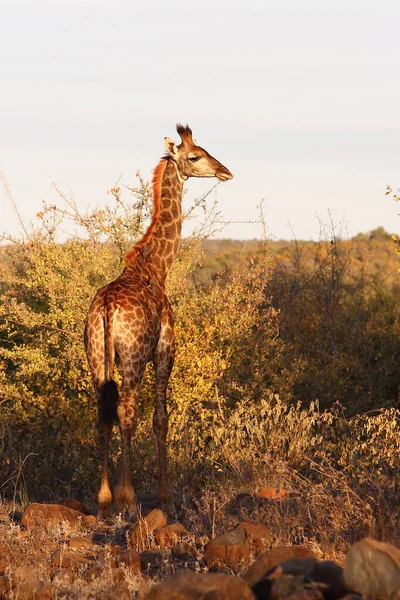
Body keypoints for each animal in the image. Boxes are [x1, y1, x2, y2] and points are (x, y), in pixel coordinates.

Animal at [85, 124, 234, 516]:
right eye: (195, 156)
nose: (225, 171)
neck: (156, 267)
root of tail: (106, 307)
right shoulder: (165, 350)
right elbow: (161, 420)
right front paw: (165, 498)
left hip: (96, 358)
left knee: (102, 414)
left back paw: (103, 500)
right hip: (133, 357)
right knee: (125, 410)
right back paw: (126, 496)